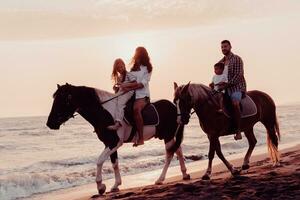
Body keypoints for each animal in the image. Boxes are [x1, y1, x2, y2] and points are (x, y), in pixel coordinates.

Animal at [47, 83, 190, 196]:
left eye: (62, 99)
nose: (50, 123)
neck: (104, 113)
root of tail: (176, 108)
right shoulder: (109, 144)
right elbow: (114, 163)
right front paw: (116, 185)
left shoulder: (114, 142)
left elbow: (99, 161)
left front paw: (100, 186)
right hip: (168, 136)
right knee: (178, 150)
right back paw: (184, 174)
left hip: (168, 136)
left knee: (169, 155)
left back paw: (160, 179)